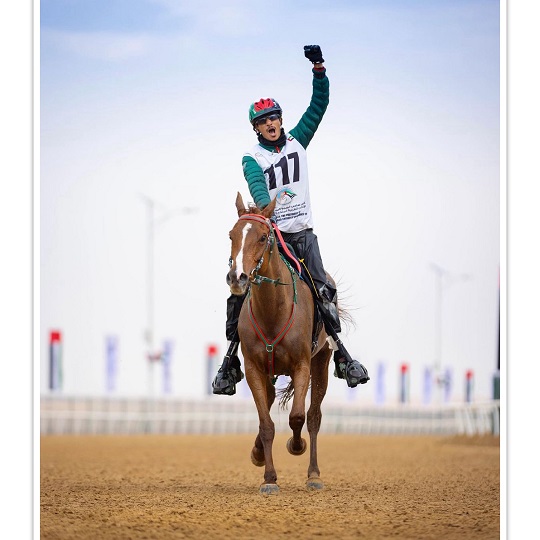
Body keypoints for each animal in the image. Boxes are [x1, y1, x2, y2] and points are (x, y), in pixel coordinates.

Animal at [226, 192, 335, 495]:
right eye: (231, 235)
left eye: (263, 237)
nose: (237, 278)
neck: (273, 311)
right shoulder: (254, 369)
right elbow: (266, 425)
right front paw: (268, 477)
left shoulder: (302, 365)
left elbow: (297, 417)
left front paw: (296, 446)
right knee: (272, 401)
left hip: (322, 362)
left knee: (314, 416)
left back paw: (314, 474)